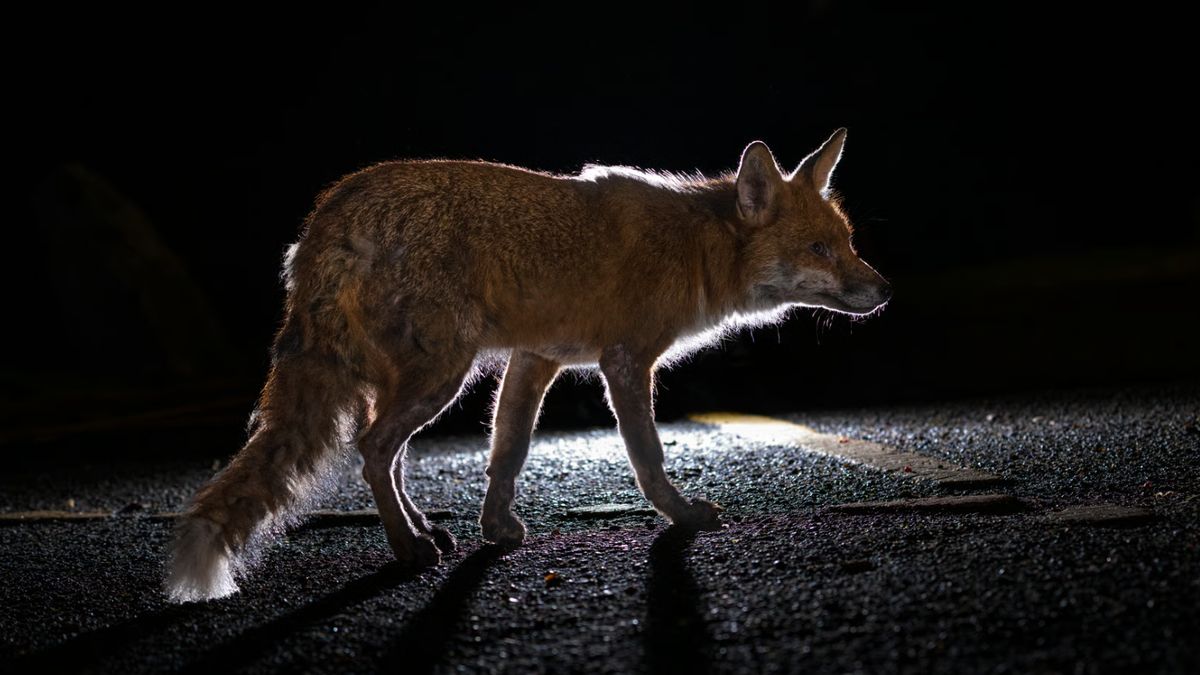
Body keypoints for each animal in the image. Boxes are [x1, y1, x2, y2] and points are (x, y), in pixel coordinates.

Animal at [166, 129, 891, 602]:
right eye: (819, 249)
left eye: (849, 243)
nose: (884, 291)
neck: (693, 245)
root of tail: (324, 221)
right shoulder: (623, 361)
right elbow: (648, 457)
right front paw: (682, 517)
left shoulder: (536, 356)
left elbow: (508, 450)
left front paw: (495, 529)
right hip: (443, 374)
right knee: (372, 448)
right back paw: (407, 548)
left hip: (413, 381)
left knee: (386, 455)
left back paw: (423, 529)